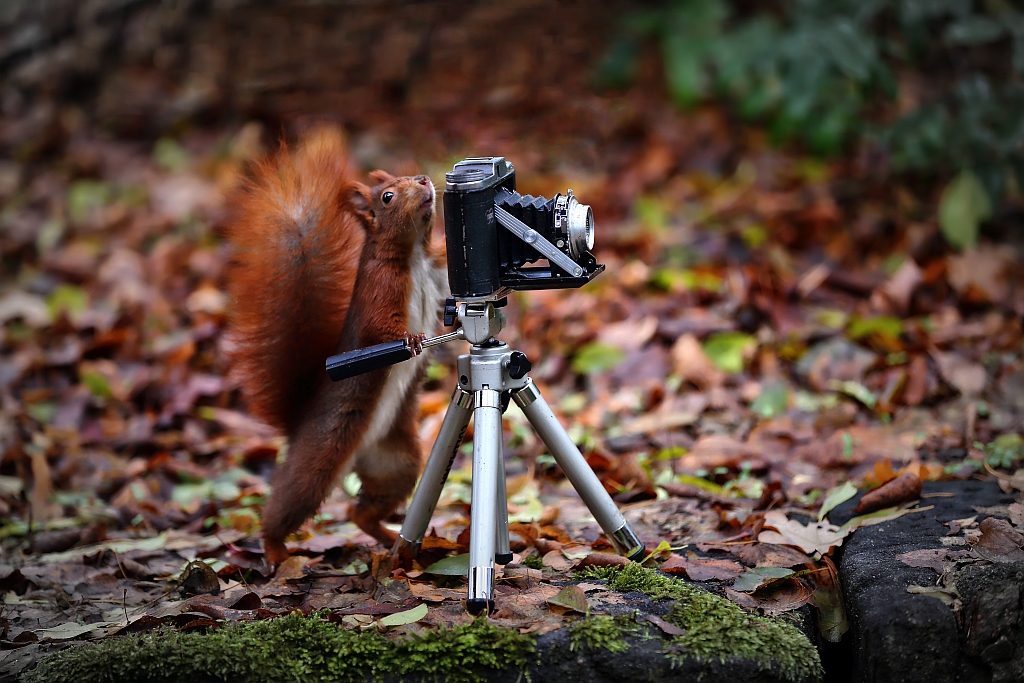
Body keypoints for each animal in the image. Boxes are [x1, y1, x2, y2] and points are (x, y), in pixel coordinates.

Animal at [226, 127, 446, 565]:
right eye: (387, 196)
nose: (424, 180)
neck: (415, 254)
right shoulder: (381, 289)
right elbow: (381, 327)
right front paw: (411, 339)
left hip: (397, 462)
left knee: (359, 511)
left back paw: (388, 539)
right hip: (318, 461)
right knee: (285, 506)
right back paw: (276, 552)